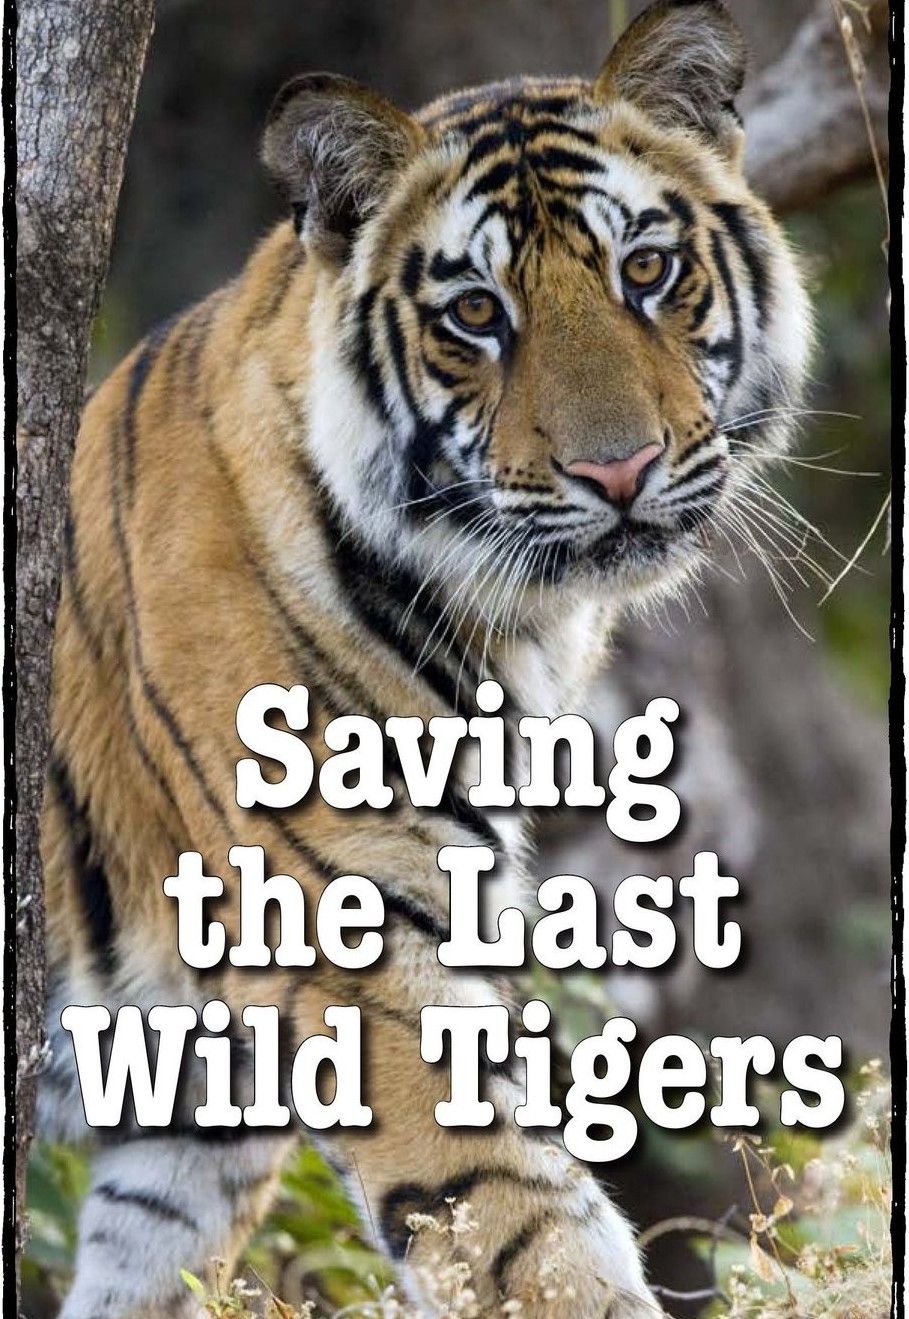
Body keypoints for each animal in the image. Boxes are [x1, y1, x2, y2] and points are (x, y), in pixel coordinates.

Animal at [38, 1, 812, 1316]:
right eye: (476, 315)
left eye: (645, 270)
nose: (620, 470)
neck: (520, 626)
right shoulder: (354, 942)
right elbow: (521, 1225)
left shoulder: (193, 1098)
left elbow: (149, 1264)